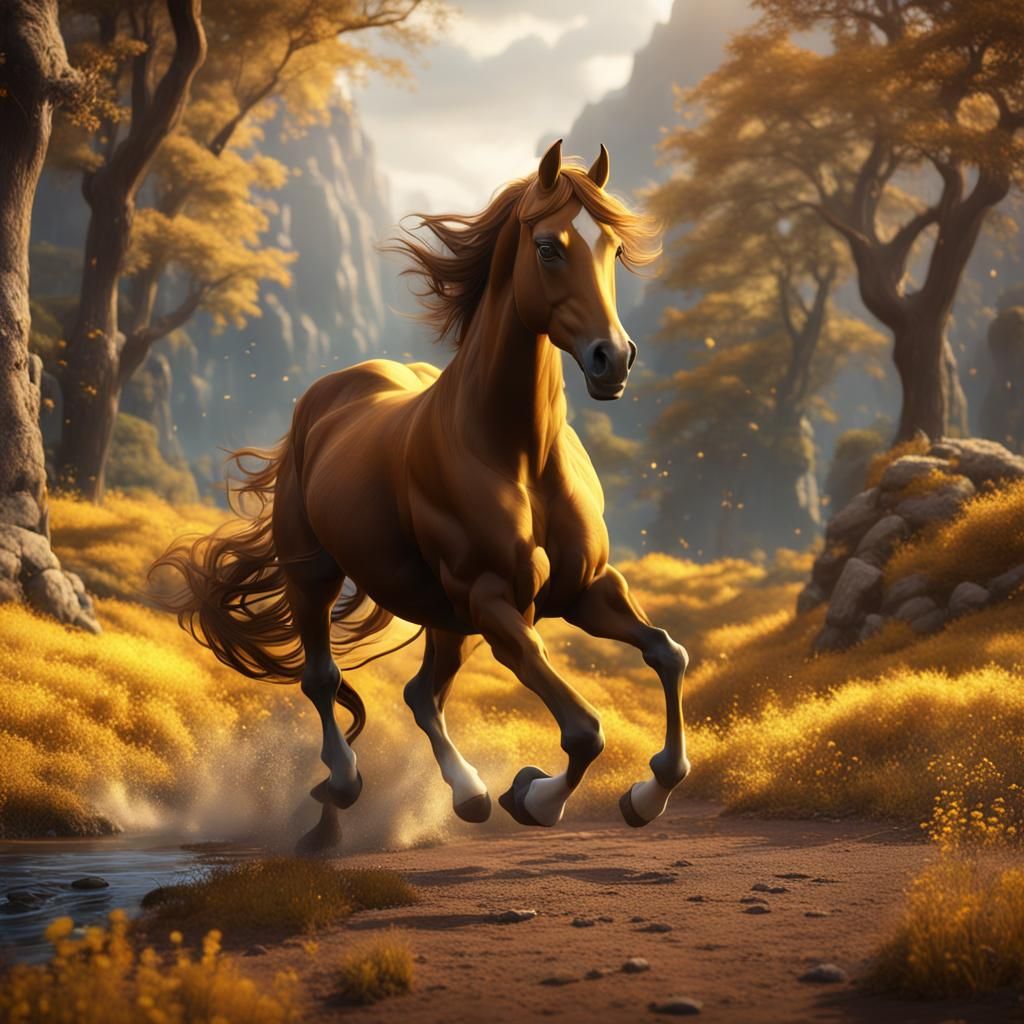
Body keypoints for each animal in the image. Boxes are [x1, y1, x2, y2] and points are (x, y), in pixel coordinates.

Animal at [153, 140, 692, 851]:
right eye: (549, 247)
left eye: (615, 249)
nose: (614, 360)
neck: (516, 454)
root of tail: (327, 394)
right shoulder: (493, 600)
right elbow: (582, 728)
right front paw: (535, 796)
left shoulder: (587, 588)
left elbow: (667, 653)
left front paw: (645, 794)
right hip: (317, 574)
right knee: (325, 678)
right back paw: (343, 791)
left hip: (446, 617)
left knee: (420, 693)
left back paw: (467, 795)